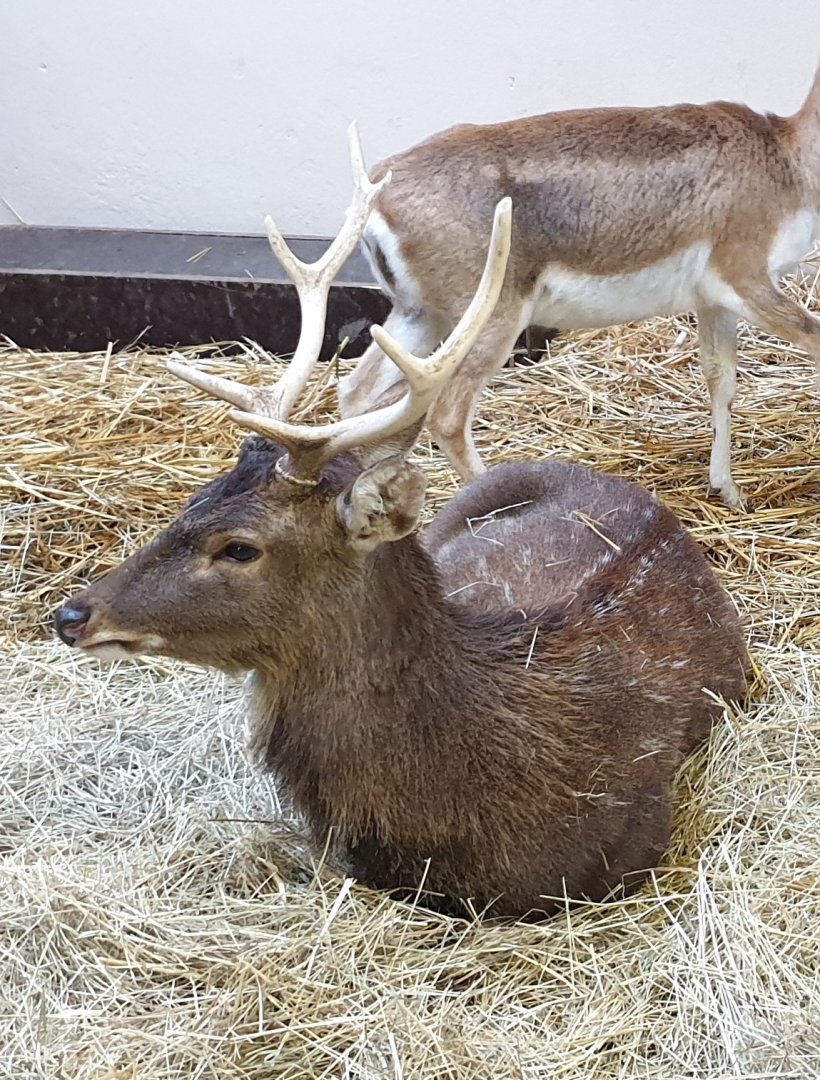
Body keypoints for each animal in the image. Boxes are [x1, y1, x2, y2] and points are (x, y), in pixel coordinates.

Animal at [338, 62, 820, 510]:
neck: (788, 159)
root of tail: (377, 195)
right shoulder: (748, 279)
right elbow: (812, 341)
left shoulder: (714, 302)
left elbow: (721, 381)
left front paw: (730, 491)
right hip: (488, 321)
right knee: (446, 416)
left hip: (420, 316)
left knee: (356, 396)